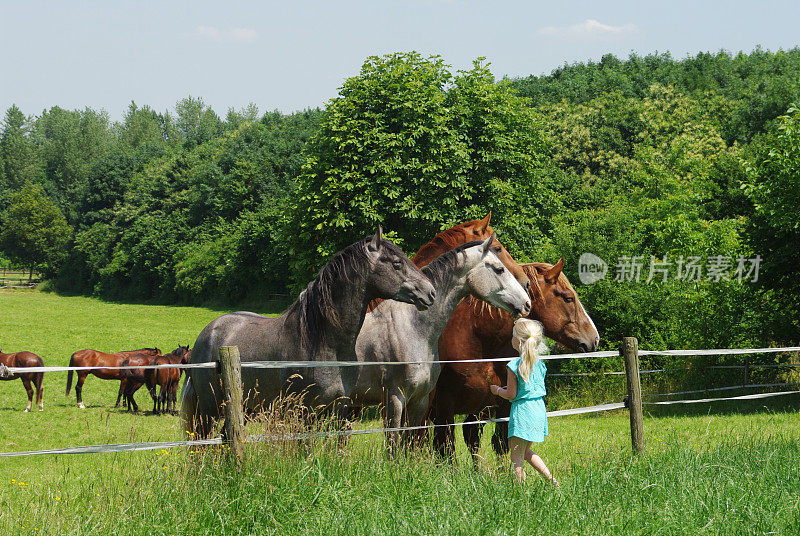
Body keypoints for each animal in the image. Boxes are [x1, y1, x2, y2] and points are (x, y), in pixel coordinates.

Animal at [180, 227, 438, 440]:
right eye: (396, 263)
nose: (430, 293)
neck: (324, 341)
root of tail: (207, 333)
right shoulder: (304, 410)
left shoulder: (339, 407)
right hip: (210, 409)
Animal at [352, 237, 532, 454]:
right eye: (499, 269)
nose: (527, 303)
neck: (412, 327)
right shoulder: (394, 399)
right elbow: (395, 447)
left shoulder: (419, 399)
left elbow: (411, 442)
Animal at [432, 260, 600, 460]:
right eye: (568, 298)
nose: (594, 338)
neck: (476, 337)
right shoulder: (444, 407)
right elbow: (446, 450)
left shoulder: (501, 405)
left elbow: (501, 444)